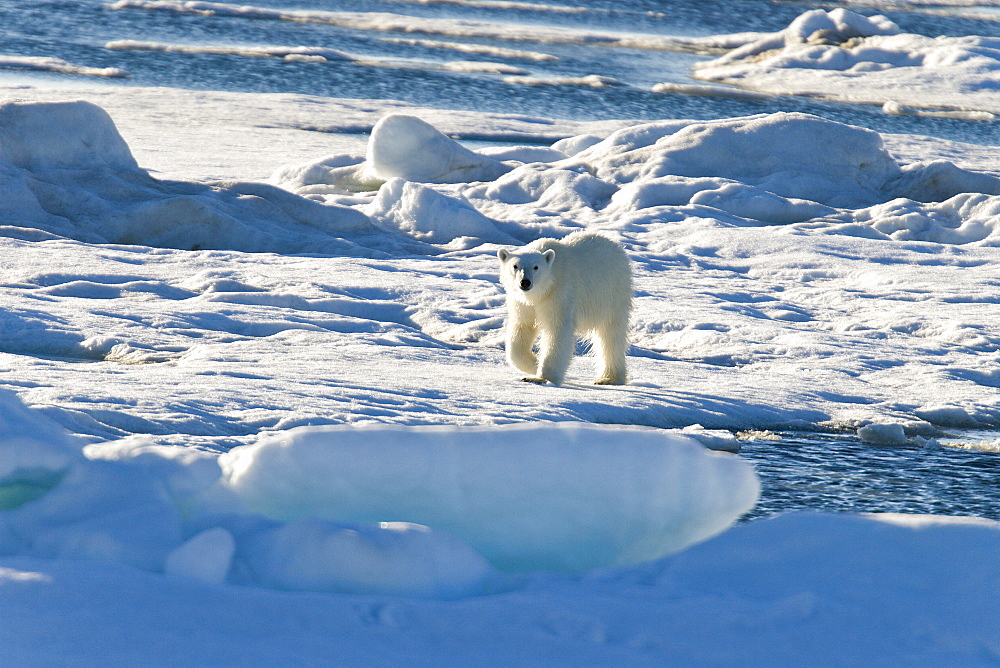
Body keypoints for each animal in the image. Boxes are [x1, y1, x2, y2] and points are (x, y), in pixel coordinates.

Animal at [500, 231, 632, 384]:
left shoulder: (560, 294)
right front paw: (534, 364)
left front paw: (543, 377)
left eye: (536, 267)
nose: (525, 282)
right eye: (515, 266)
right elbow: (522, 327)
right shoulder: (522, 303)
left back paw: (609, 378)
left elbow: (557, 330)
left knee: (610, 334)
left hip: (612, 293)